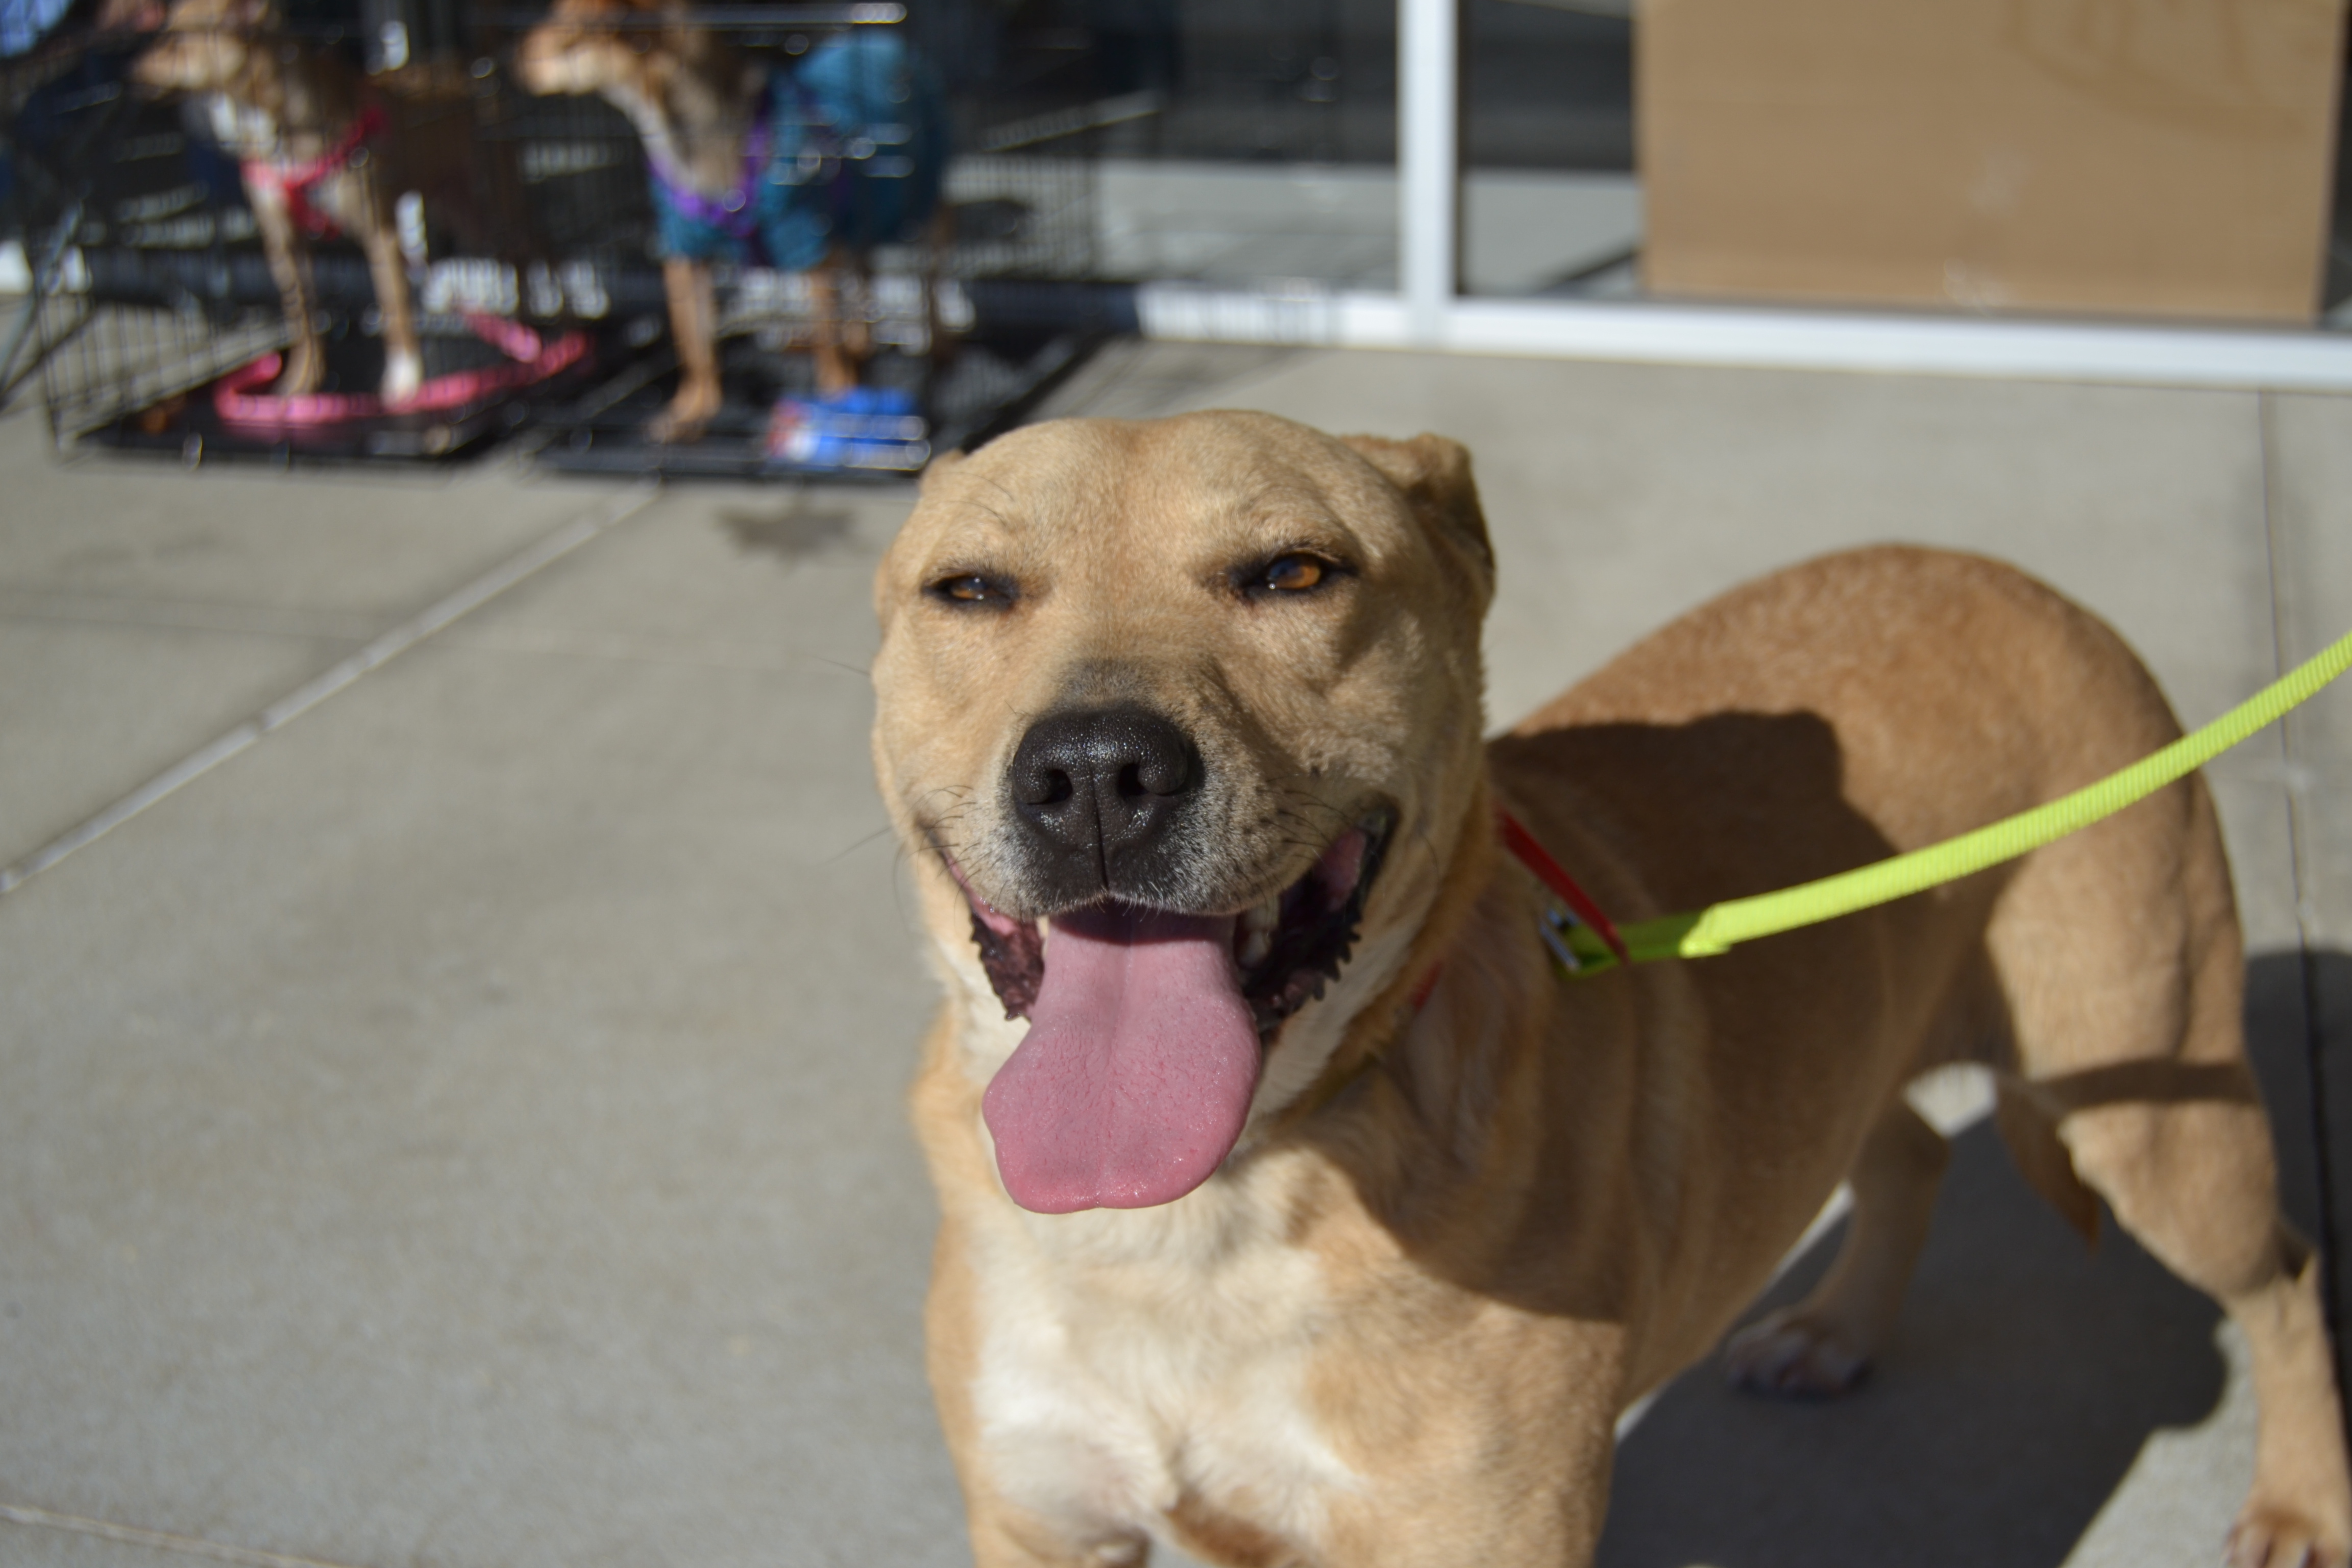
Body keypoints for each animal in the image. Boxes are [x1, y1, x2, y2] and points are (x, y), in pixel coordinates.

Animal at [129, 0, 468, 404]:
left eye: (176, 43)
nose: (129, 73)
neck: (269, 123)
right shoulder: (283, 244)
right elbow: (302, 317)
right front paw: (301, 384)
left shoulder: (380, 235)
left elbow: (394, 307)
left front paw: (405, 381)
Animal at [517, 0, 945, 444]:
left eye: (574, 32)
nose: (517, 58)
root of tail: (884, 38)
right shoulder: (684, 255)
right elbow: (693, 342)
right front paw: (693, 410)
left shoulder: (808, 246)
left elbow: (829, 344)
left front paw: (840, 406)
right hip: (858, 226)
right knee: (863, 282)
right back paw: (859, 347)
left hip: (923, 201)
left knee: (929, 284)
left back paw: (934, 349)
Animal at [870, 413, 2352, 1568]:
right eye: (972, 590)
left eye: (1294, 572)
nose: (1096, 773)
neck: (1201, 1218)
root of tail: (2023, 580)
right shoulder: (1043, 1521)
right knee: (1913, 1148)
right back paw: (1836, 1328)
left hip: (2157, 1113)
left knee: (2282, 1268)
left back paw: (2302, 1498)